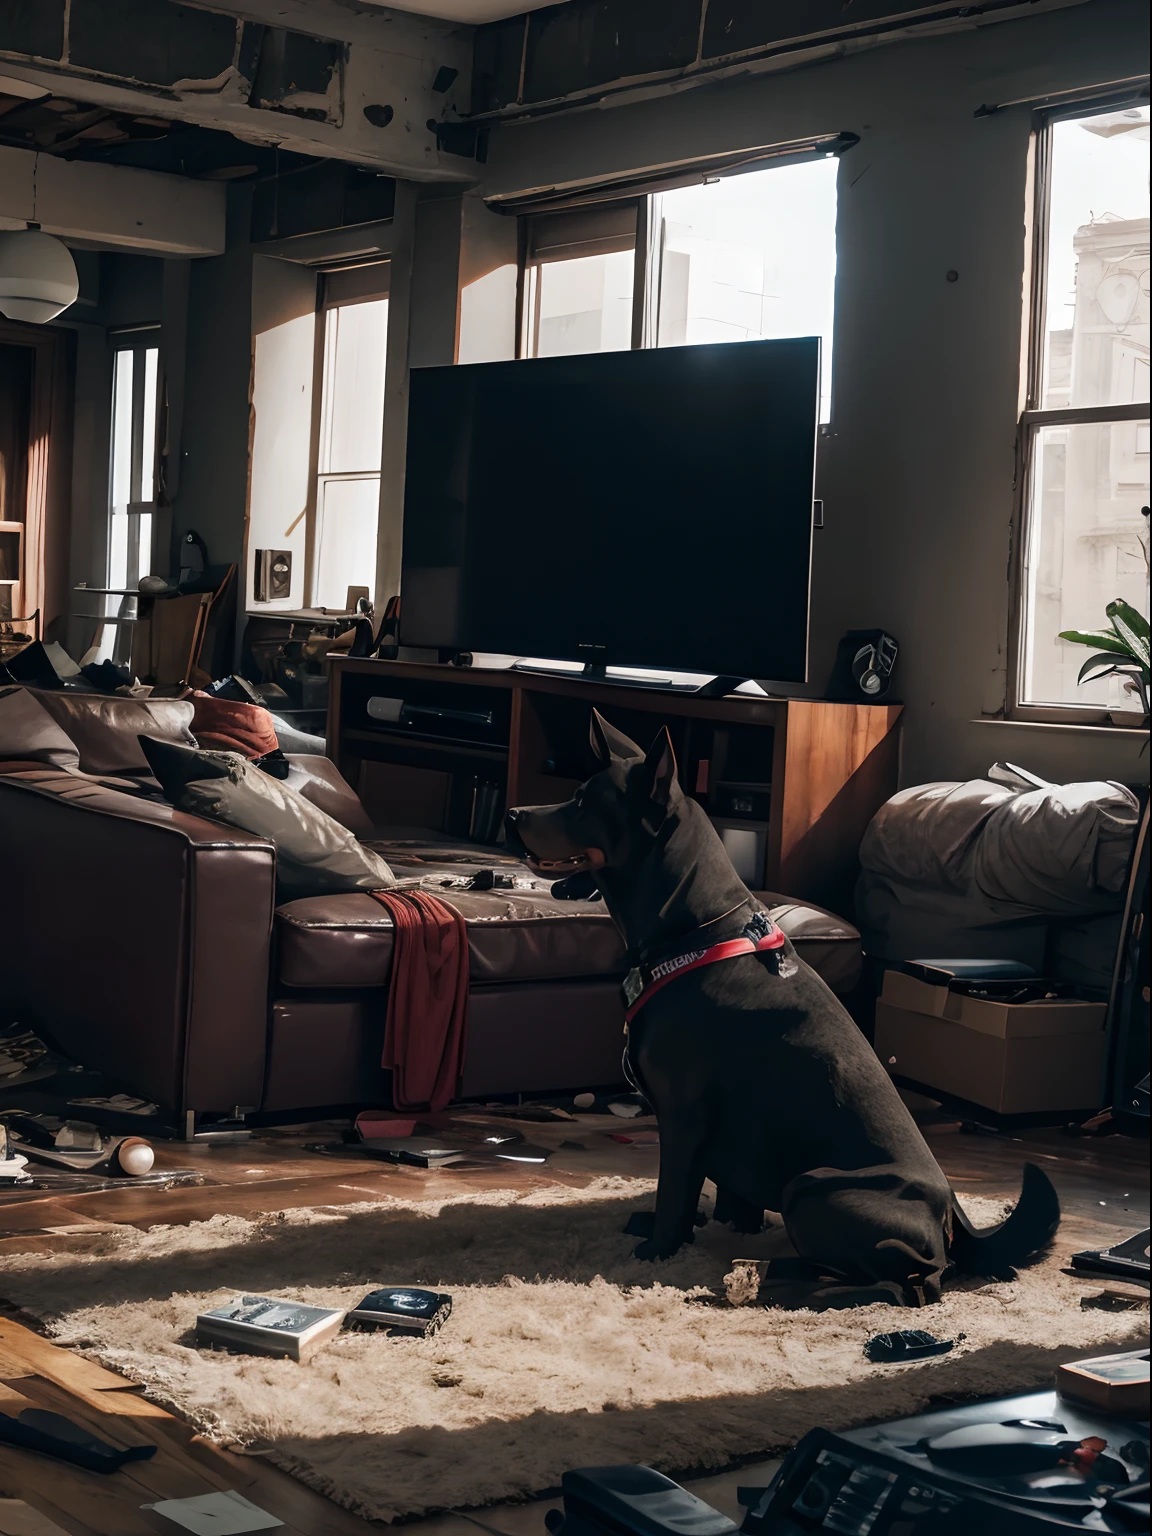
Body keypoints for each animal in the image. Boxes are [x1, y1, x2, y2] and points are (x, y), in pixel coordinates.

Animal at [506, 706, 1062, 1308]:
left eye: (584, 802)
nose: (513, 813)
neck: (695, 930)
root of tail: (952, 1216)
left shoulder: (683, 1111)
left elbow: (673, 1190)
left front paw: (657, 1249)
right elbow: (717, 1195)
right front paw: (710, 1228)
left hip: (812, 1189)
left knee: (907, 1286)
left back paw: (778, 1282)